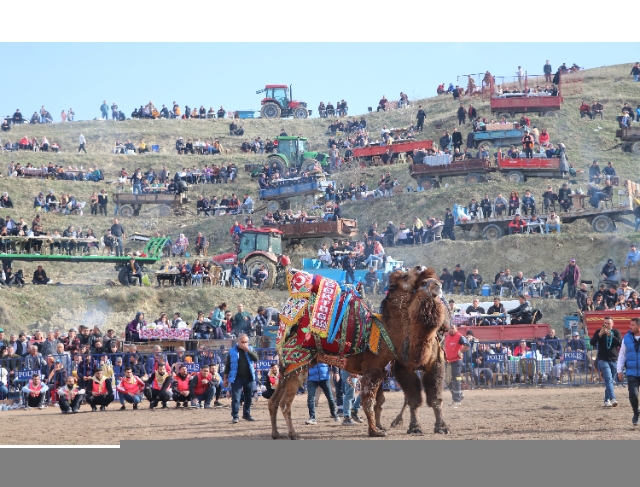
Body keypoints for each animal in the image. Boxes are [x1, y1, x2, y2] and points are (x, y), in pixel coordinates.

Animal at [268, 266, 448, 442]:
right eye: (405, 276)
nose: (419, 267)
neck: (388, 330)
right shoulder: (373, 368)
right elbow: (368, 401)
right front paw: (375, 431)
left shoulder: (381, 371)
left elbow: (375, 401)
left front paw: (378, 428)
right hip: (298, 365)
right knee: (285, 403)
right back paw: (293, 434)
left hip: (287, 370)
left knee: (273, 401)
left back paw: (276, 433)